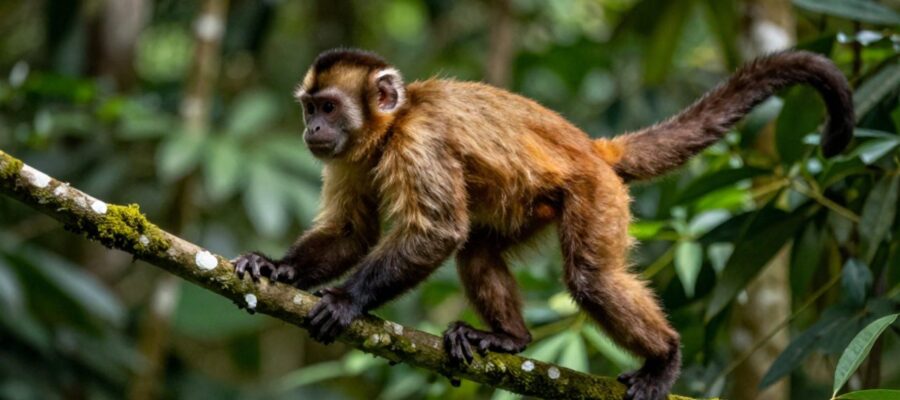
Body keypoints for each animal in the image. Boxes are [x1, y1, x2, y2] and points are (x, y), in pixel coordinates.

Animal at [232, 48, 853, 400]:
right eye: (310, 108)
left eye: (329, 108)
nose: (312, 130)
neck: (391, 127)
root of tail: (594, 148)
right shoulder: (347, 155)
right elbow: (353, 232)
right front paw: (278, 269)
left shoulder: (420, 140)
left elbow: (435, 232)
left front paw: (346, 301)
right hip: (535, 204)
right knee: (478, 252)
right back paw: (512, 338)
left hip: (595, 194)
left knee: (589, 278)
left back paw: (665, 358)